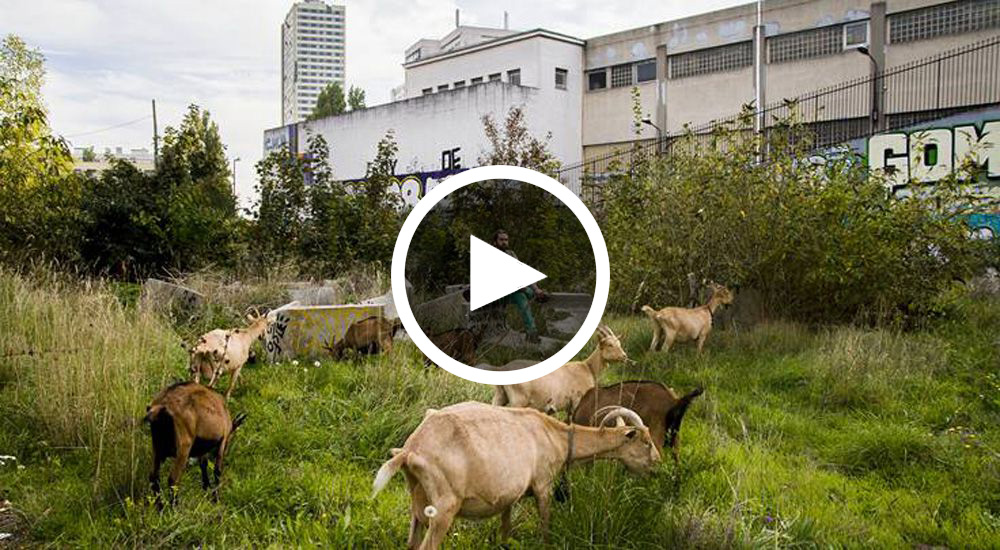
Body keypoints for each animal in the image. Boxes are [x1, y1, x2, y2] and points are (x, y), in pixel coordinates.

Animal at [372, 402, 660, 550]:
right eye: (645, 442)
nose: (658, 466)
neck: (555, 435)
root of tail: (411, 450)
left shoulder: (508, 497)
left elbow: (506, 529)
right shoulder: (543, 485)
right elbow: (545, 526)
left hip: (418, 502)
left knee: (412, 542)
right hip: (445, 507)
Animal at [490, 326, 624, 416]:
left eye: (619, 343)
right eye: (610, 344)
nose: (624, 356)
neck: (588, 368)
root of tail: (502, 369)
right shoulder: (577, 401)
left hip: (501, 396)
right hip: (518, 400)